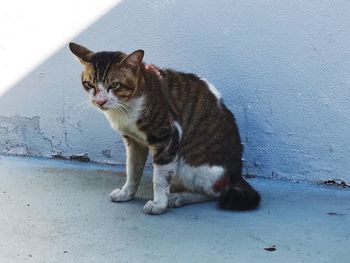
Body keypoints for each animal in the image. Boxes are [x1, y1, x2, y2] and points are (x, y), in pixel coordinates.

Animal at [69, 43, 260, 216]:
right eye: (89, 84)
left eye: (114, 85)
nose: (99, 101)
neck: (126, 108)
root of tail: (237, 174)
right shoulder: (133, 141)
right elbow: (132, 169)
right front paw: (126, 193)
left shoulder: (168, 135)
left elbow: (159, 178)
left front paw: (159, 204)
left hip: (191, 163)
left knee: (214, 192)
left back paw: (177, 198)